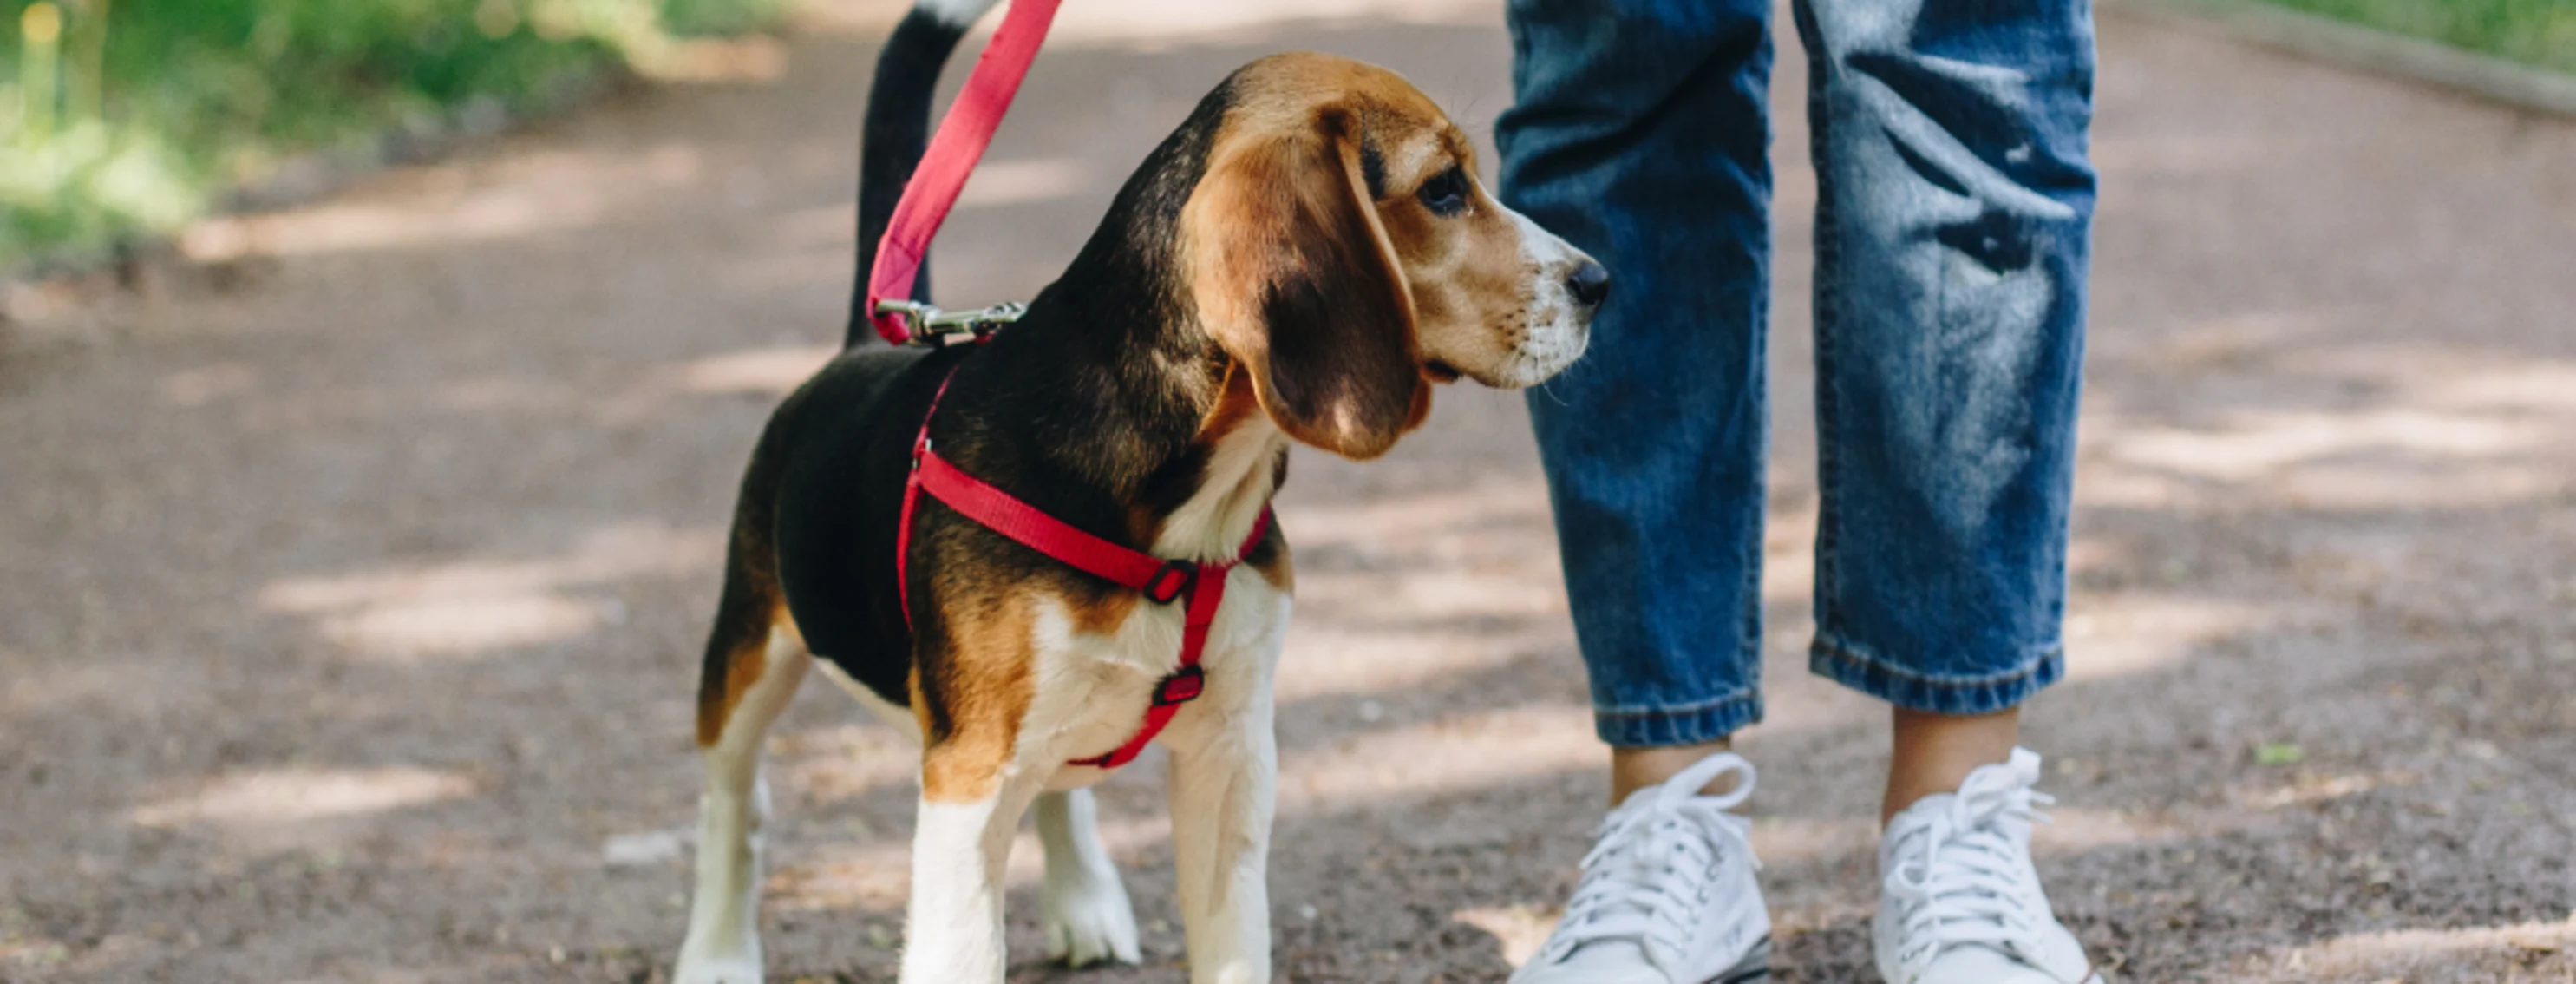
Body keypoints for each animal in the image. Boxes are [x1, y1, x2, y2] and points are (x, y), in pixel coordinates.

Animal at [675, 3, 1607, 979]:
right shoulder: (968, 777)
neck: (1184, 512)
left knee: (1060, 788)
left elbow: (1233, 940)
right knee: (733, 804)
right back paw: (716, 952)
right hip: (747, 653)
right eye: (1442, 190)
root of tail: (867, 343)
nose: (1600, 284)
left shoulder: (1233, 752)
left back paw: (1084, 900)